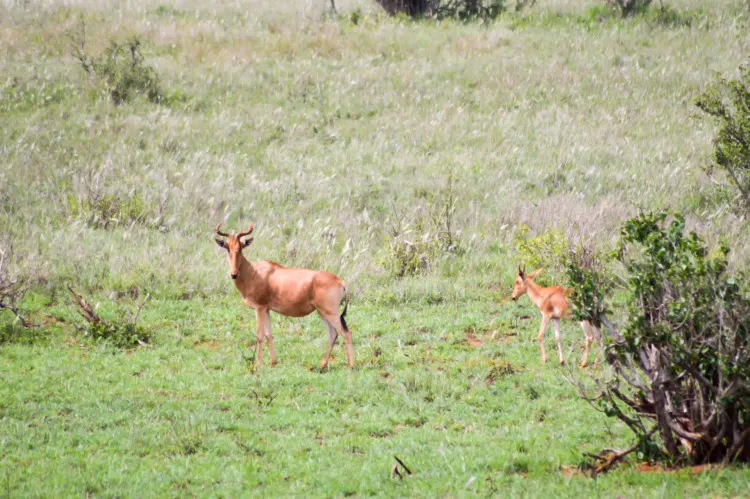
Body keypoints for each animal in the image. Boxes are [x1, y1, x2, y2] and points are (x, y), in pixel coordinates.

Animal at [213, 225, 352, 370]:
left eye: (240, 248)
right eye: (227, 247)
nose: (234, 274)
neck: (254, 272)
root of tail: (340, 281)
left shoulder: (259, 308)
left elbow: (259, 335)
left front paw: (258, 364)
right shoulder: (266, 309)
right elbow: (269, 335)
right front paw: (272, 362)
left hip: (330, 312)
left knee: (346, 333)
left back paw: (350, 366)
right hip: (322, 312)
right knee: (332, 334)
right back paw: (322, 365)